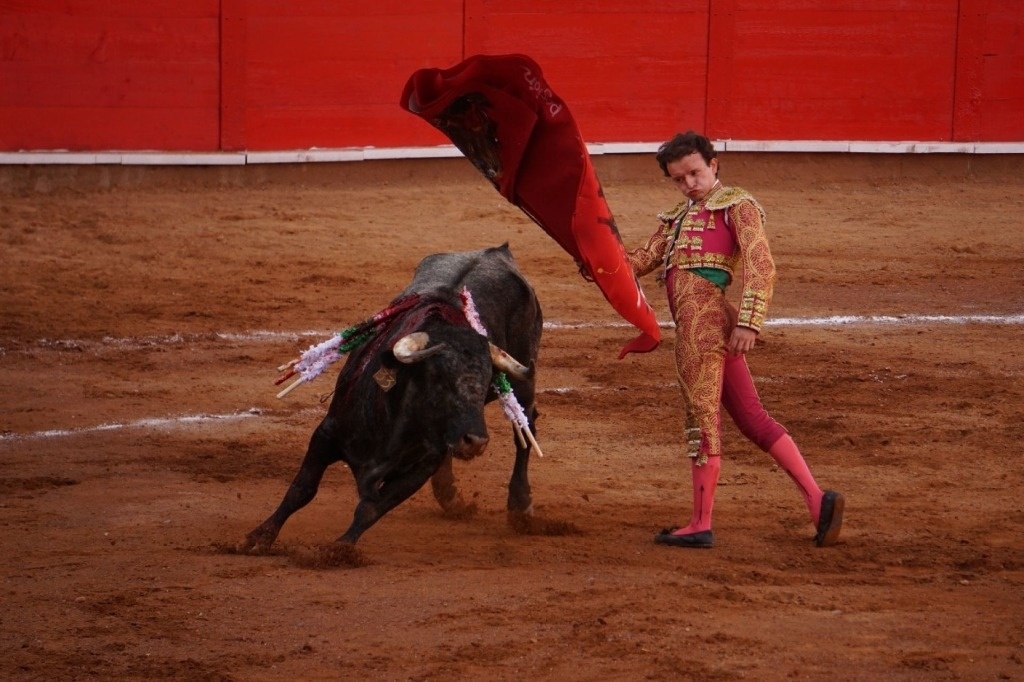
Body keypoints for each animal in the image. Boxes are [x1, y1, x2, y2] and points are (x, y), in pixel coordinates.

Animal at [242, 244, 544, 548]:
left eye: (486, 382)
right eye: (437, 378)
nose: (476, 442)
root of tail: (497, 251)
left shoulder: (422, 467)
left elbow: (371, 508)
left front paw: (340, 548)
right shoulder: (326, 434)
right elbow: (301, 490)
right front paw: (259, 537)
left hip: (523, 385)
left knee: (525, 426)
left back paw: (520, 507)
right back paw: (451, 497)